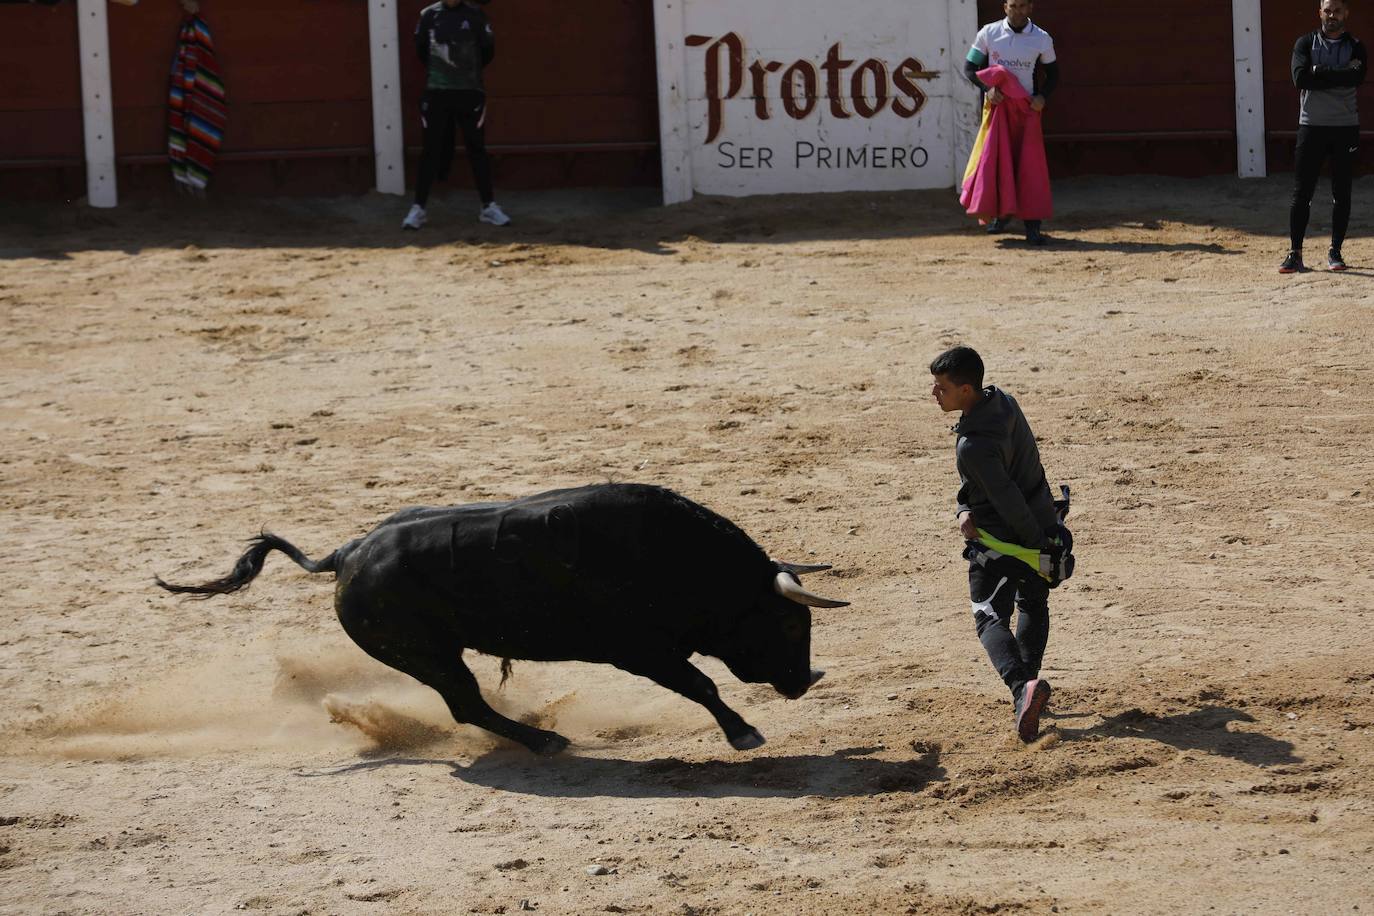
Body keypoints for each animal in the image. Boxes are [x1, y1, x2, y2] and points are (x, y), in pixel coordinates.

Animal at [155, 483, 840, 758]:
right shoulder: (640, 651)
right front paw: (744, 734)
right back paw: (545, 740)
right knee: (466, 707)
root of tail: (347, 555)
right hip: (429, 657)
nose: (808, 680)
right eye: (789, 625)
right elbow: (702, 684)